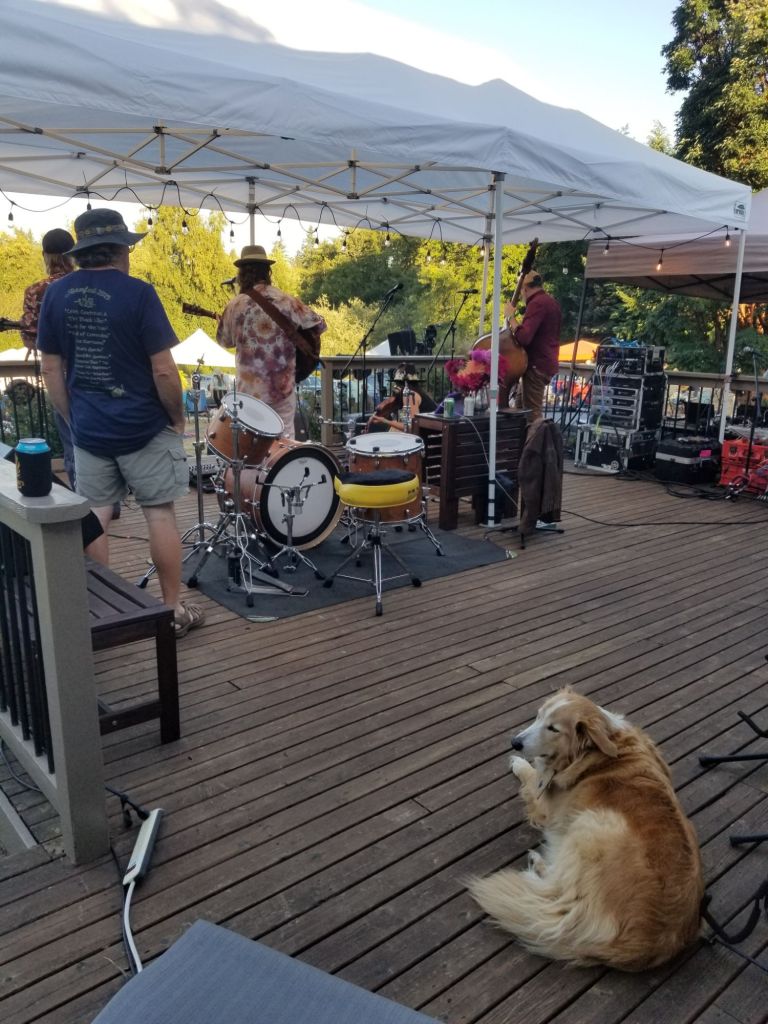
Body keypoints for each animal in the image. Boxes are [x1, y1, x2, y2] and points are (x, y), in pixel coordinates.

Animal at [468, 689, 703, 970]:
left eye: (553, 728)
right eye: (538, 716)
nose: (515, 743)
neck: (593, 752)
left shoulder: (545, 804)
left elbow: (531, 775)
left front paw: (518, 763)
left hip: (591, 823)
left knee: (560, 891)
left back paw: (537, 863)